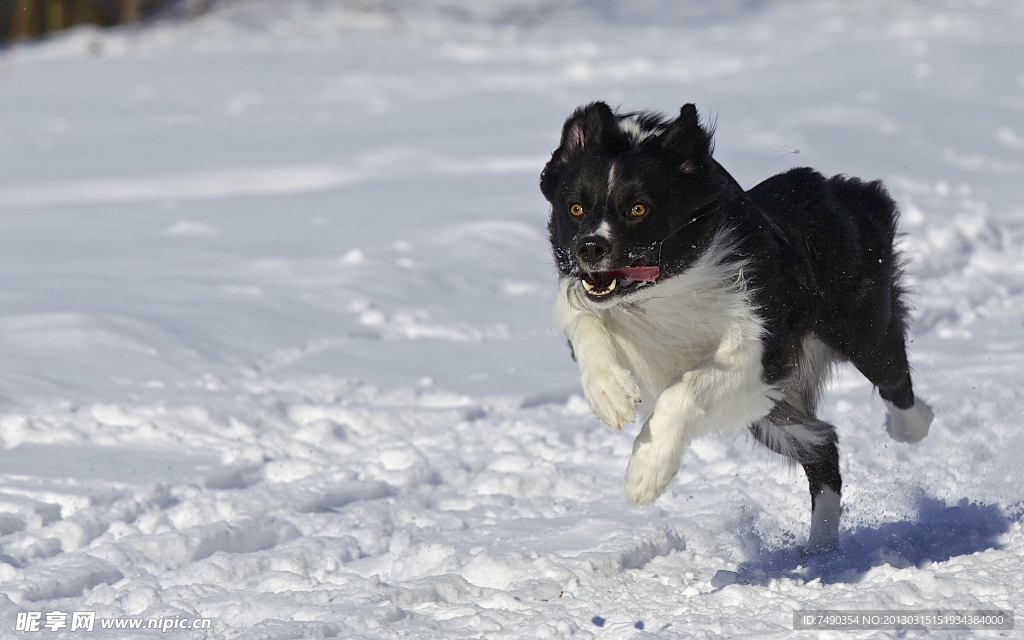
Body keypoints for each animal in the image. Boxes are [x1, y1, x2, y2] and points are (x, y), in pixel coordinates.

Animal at [544, 102, 937, 552]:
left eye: (638, 208)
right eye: (575, 208)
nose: (590, 247)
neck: (666, 288)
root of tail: (843, 189)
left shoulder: (760, 351)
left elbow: (684, 389)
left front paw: (645, 473)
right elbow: (585, 318)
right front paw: (610, 393)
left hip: (862, 328)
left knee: (895, 385)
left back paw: (910, 428)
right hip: (771, 412)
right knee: (824, 447)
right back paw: (820, 550)